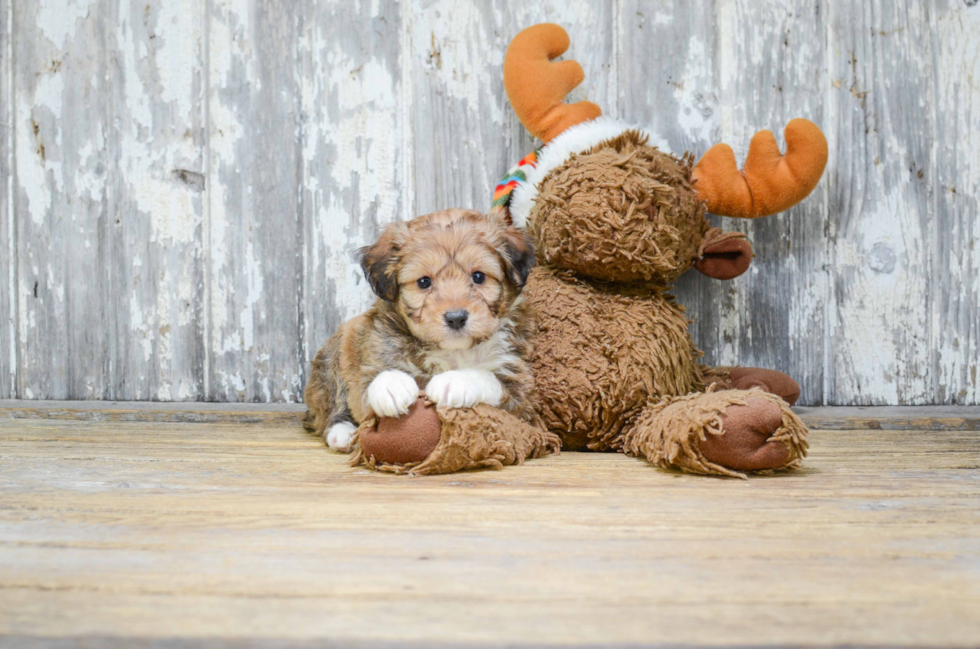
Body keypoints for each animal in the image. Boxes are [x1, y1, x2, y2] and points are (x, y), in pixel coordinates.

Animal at [304, 209, 536, 450]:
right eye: (424, 282)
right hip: (334, 354)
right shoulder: (372, 357)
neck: (451, 351)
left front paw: (455, 381)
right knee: (332, 399)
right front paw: (391, 385)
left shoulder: (521, 395)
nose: (455, 318)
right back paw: (341, 432)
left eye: (478, 276)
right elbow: (370, 382)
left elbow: (489, 378)